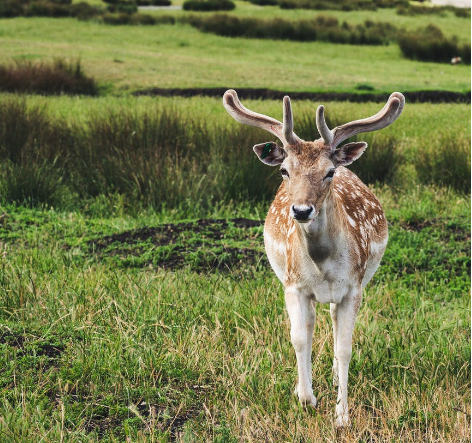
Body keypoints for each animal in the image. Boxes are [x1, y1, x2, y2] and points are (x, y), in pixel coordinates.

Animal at [222, 89, 406, 426]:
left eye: (328, 172)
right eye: (284, 171)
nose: (301, 210)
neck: (322, 263)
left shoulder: (354, 287)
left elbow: (345, 347)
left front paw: (342, 415)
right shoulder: (293, 285)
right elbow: (299, 338)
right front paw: (306, 398)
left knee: (332, 320)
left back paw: (333, 378)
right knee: (310, 327)